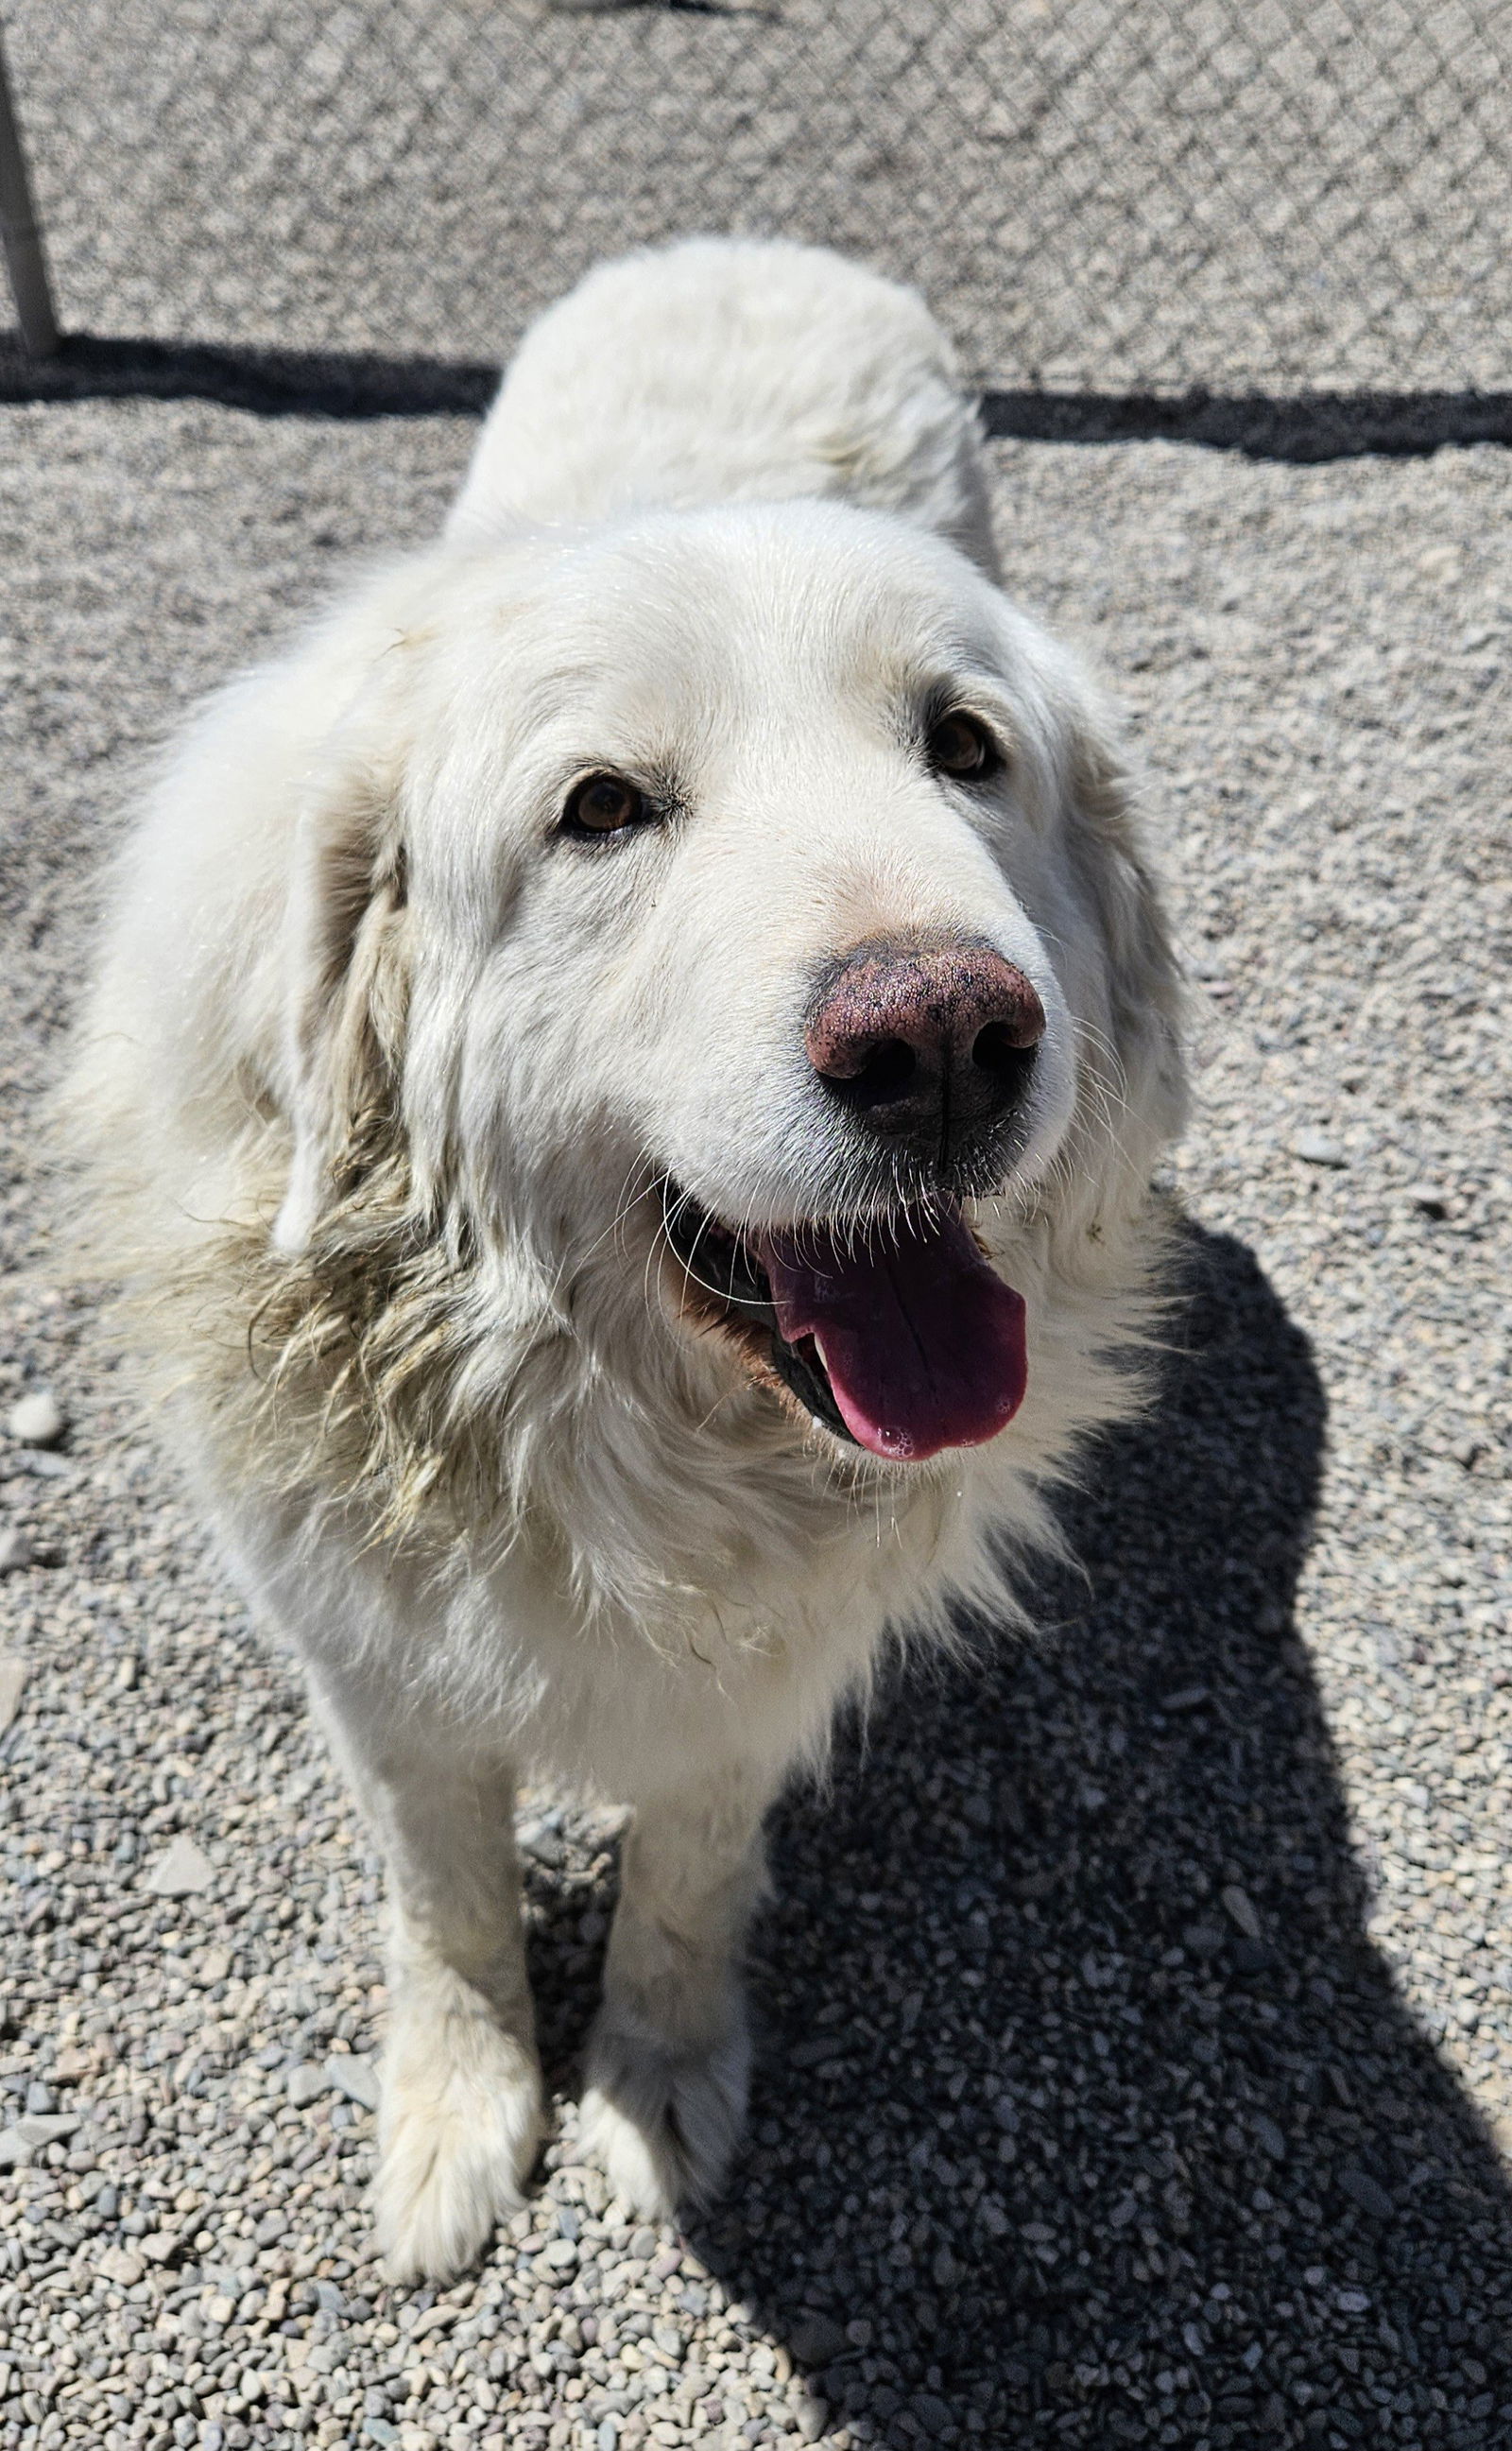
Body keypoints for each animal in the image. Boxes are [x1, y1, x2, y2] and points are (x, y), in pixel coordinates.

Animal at [67, 238, 1180, 2284]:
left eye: (963, 750)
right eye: (600, 808)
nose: (943, 1036)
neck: (597, 1437)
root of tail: (756, 244)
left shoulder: (750, 1683)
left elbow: (682, 1876)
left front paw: (657, 2081)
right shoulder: (375, 1668)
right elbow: (445, 1903)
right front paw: (458, 2114)